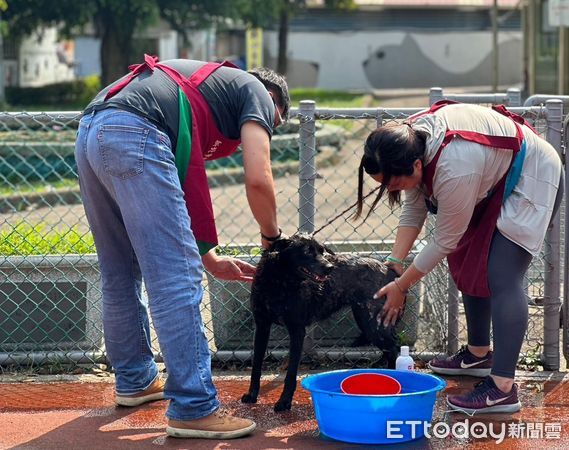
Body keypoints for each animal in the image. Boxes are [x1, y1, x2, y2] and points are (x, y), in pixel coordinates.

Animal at [240, 234, 404, 414]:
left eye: (321, 251)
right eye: (306, 252)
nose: (330, 267)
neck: (279, 282)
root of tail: (390, 271)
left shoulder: (297, 330)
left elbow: (290, 373)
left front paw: (284, 402)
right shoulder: (262, 326)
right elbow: (256, 366)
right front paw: (252, 395)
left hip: (373, 324)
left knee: (394, 350)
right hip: (368, 322)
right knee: (391, 351)